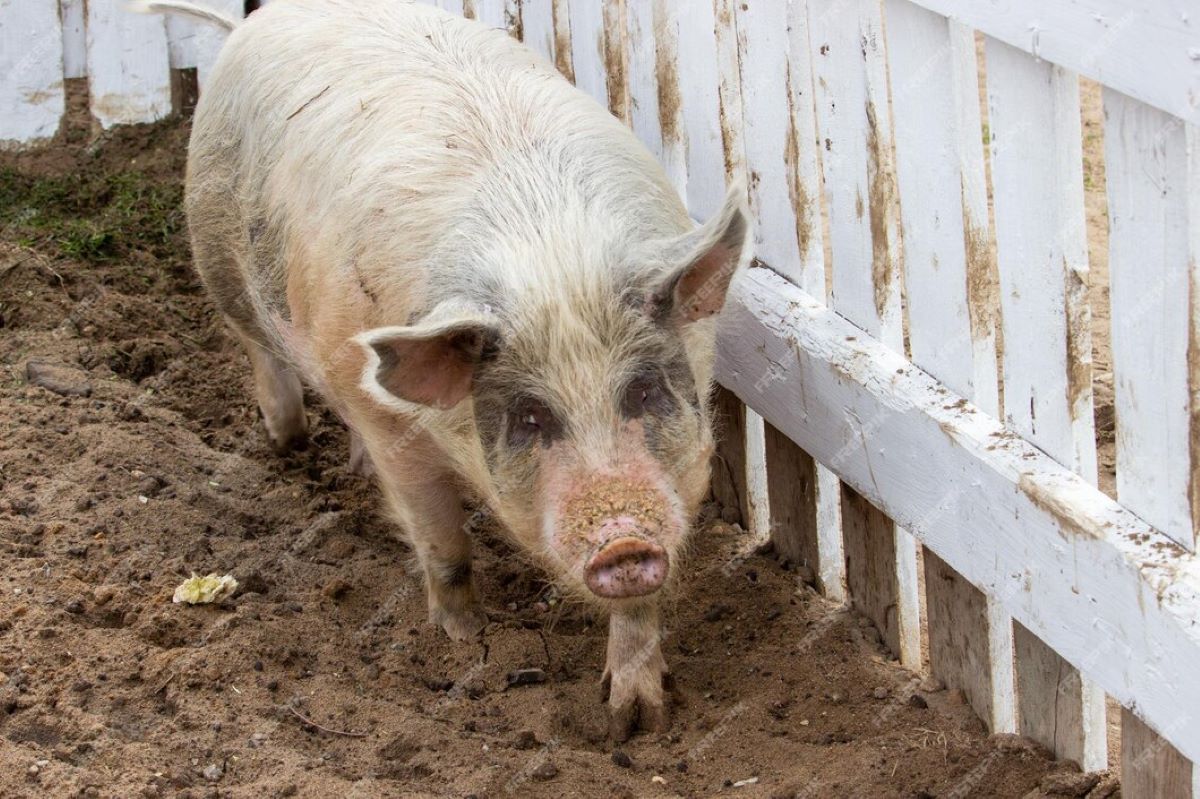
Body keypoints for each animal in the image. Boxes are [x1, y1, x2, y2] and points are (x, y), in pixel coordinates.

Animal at [131, 0, 748, 739]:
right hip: (217, 252)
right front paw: (467, 640)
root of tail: (259, 18)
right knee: (259, 350)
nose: (622, 541)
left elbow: (639, 608)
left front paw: (636, 718)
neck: (549, 254)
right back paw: (288, 441)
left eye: (646, 389)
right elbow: (443, 543)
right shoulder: (393, 426)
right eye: (529, 415)